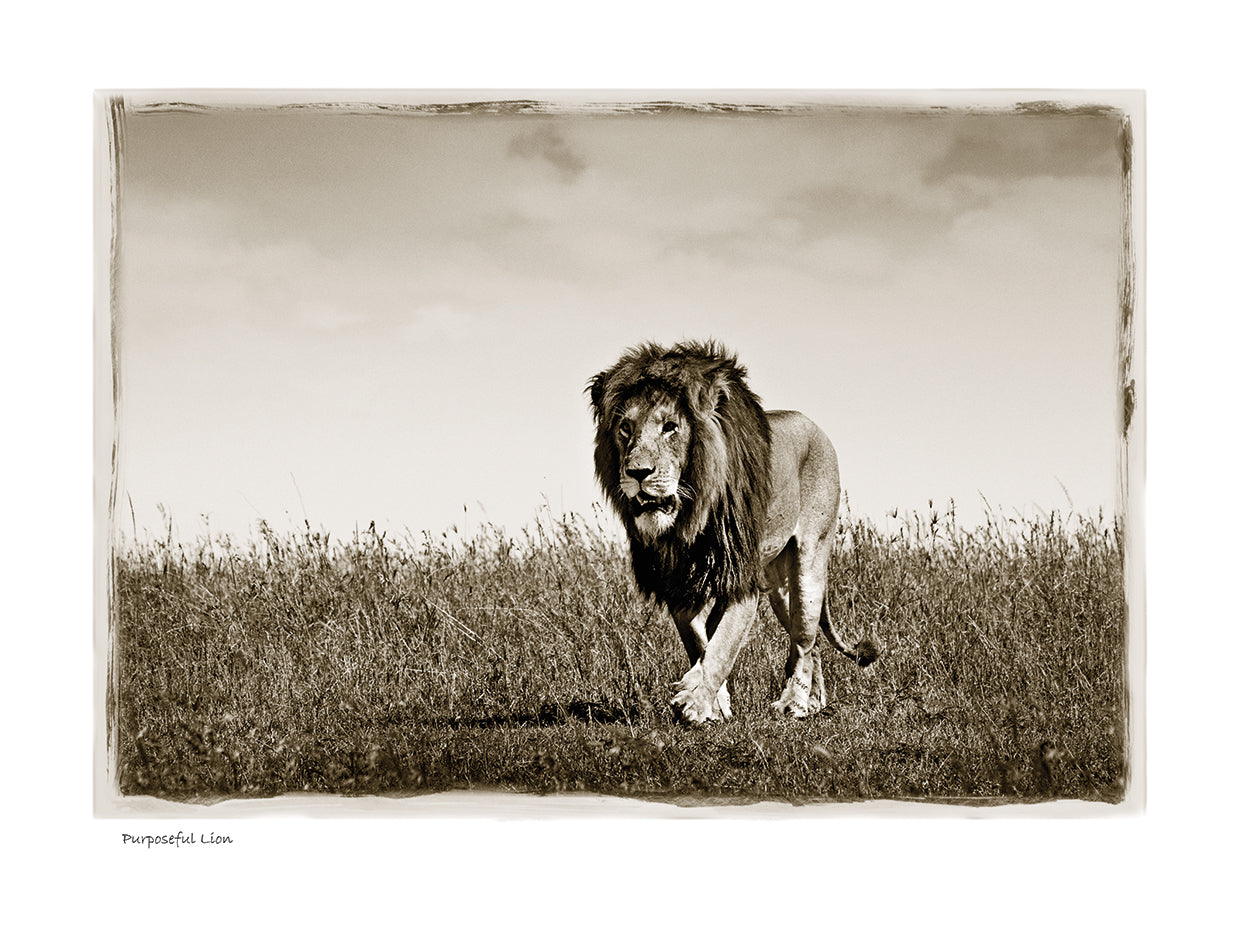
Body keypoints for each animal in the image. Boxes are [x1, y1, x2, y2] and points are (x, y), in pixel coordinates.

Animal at [589, 340, 877, 724]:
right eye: (625, 427)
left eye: (670, 427)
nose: (637, 472)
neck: (689, 518)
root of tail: (812, 424)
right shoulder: (678, 582)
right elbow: (700, 642)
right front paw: (715, 704)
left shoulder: (741, 581)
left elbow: (722, 644)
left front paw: (695, 702)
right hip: (779, 586)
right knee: (810, 641)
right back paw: (814, 702)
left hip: (809, 564)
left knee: (804, 638)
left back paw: (795, 703)